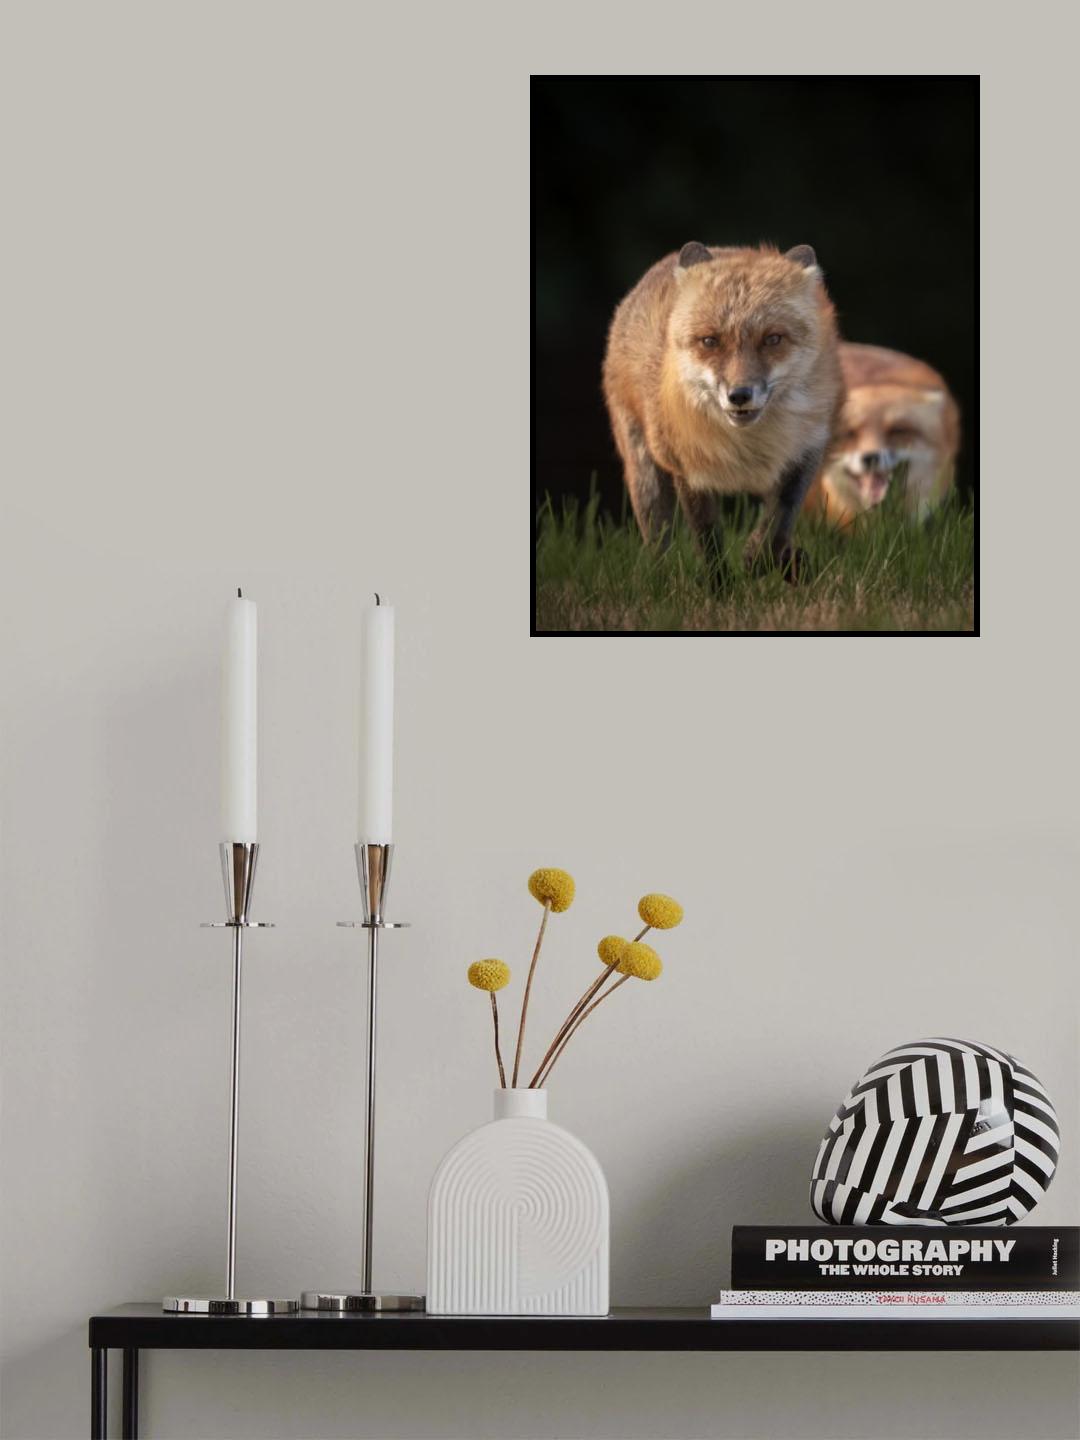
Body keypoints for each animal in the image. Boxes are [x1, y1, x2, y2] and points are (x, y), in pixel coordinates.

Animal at [602, 241, 843, 579]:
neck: (747, 447)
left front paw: (760, 559)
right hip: (645, 476)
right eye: (710, 341)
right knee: (658, 542)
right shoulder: (688, 468)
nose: (739, 395)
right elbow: (709, 541)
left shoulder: (806, 452)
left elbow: (778, 523)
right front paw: (720, 585)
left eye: (773, 339)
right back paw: (661, 579)